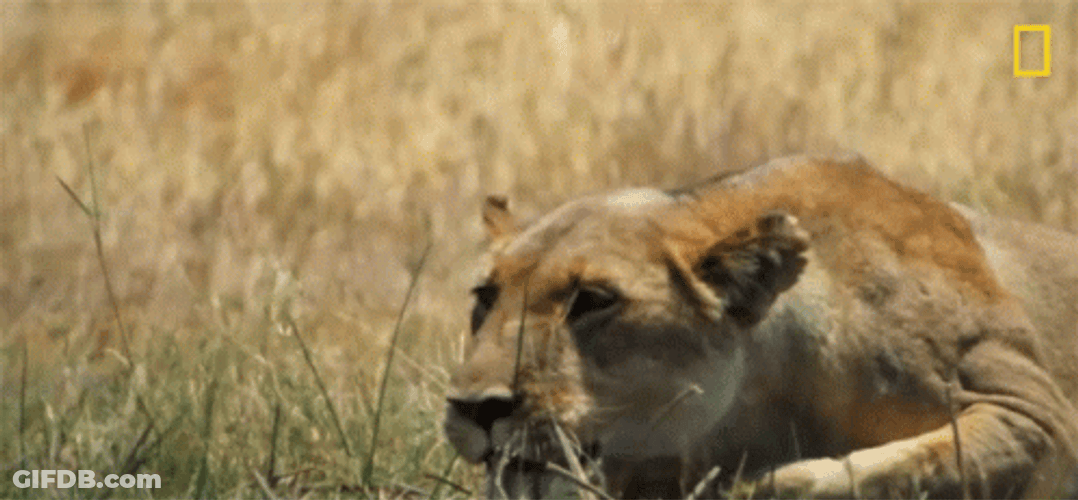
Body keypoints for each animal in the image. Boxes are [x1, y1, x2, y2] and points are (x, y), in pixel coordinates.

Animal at [444, 154, 1078, 499]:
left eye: (593, 301)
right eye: (485, 297)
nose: (475, 409)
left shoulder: (1038, 414)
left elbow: (904, 466)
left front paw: (758, 486)